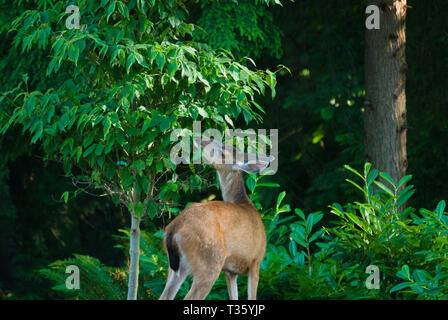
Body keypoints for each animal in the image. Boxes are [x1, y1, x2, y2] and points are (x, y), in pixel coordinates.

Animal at [159, 135, 274, 300]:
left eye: (223, 151)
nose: (200, 138)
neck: (246, 204)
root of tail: (173, 228)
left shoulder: (231, 270)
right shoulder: (256, 260)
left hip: (177, 266)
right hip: (209, 261)